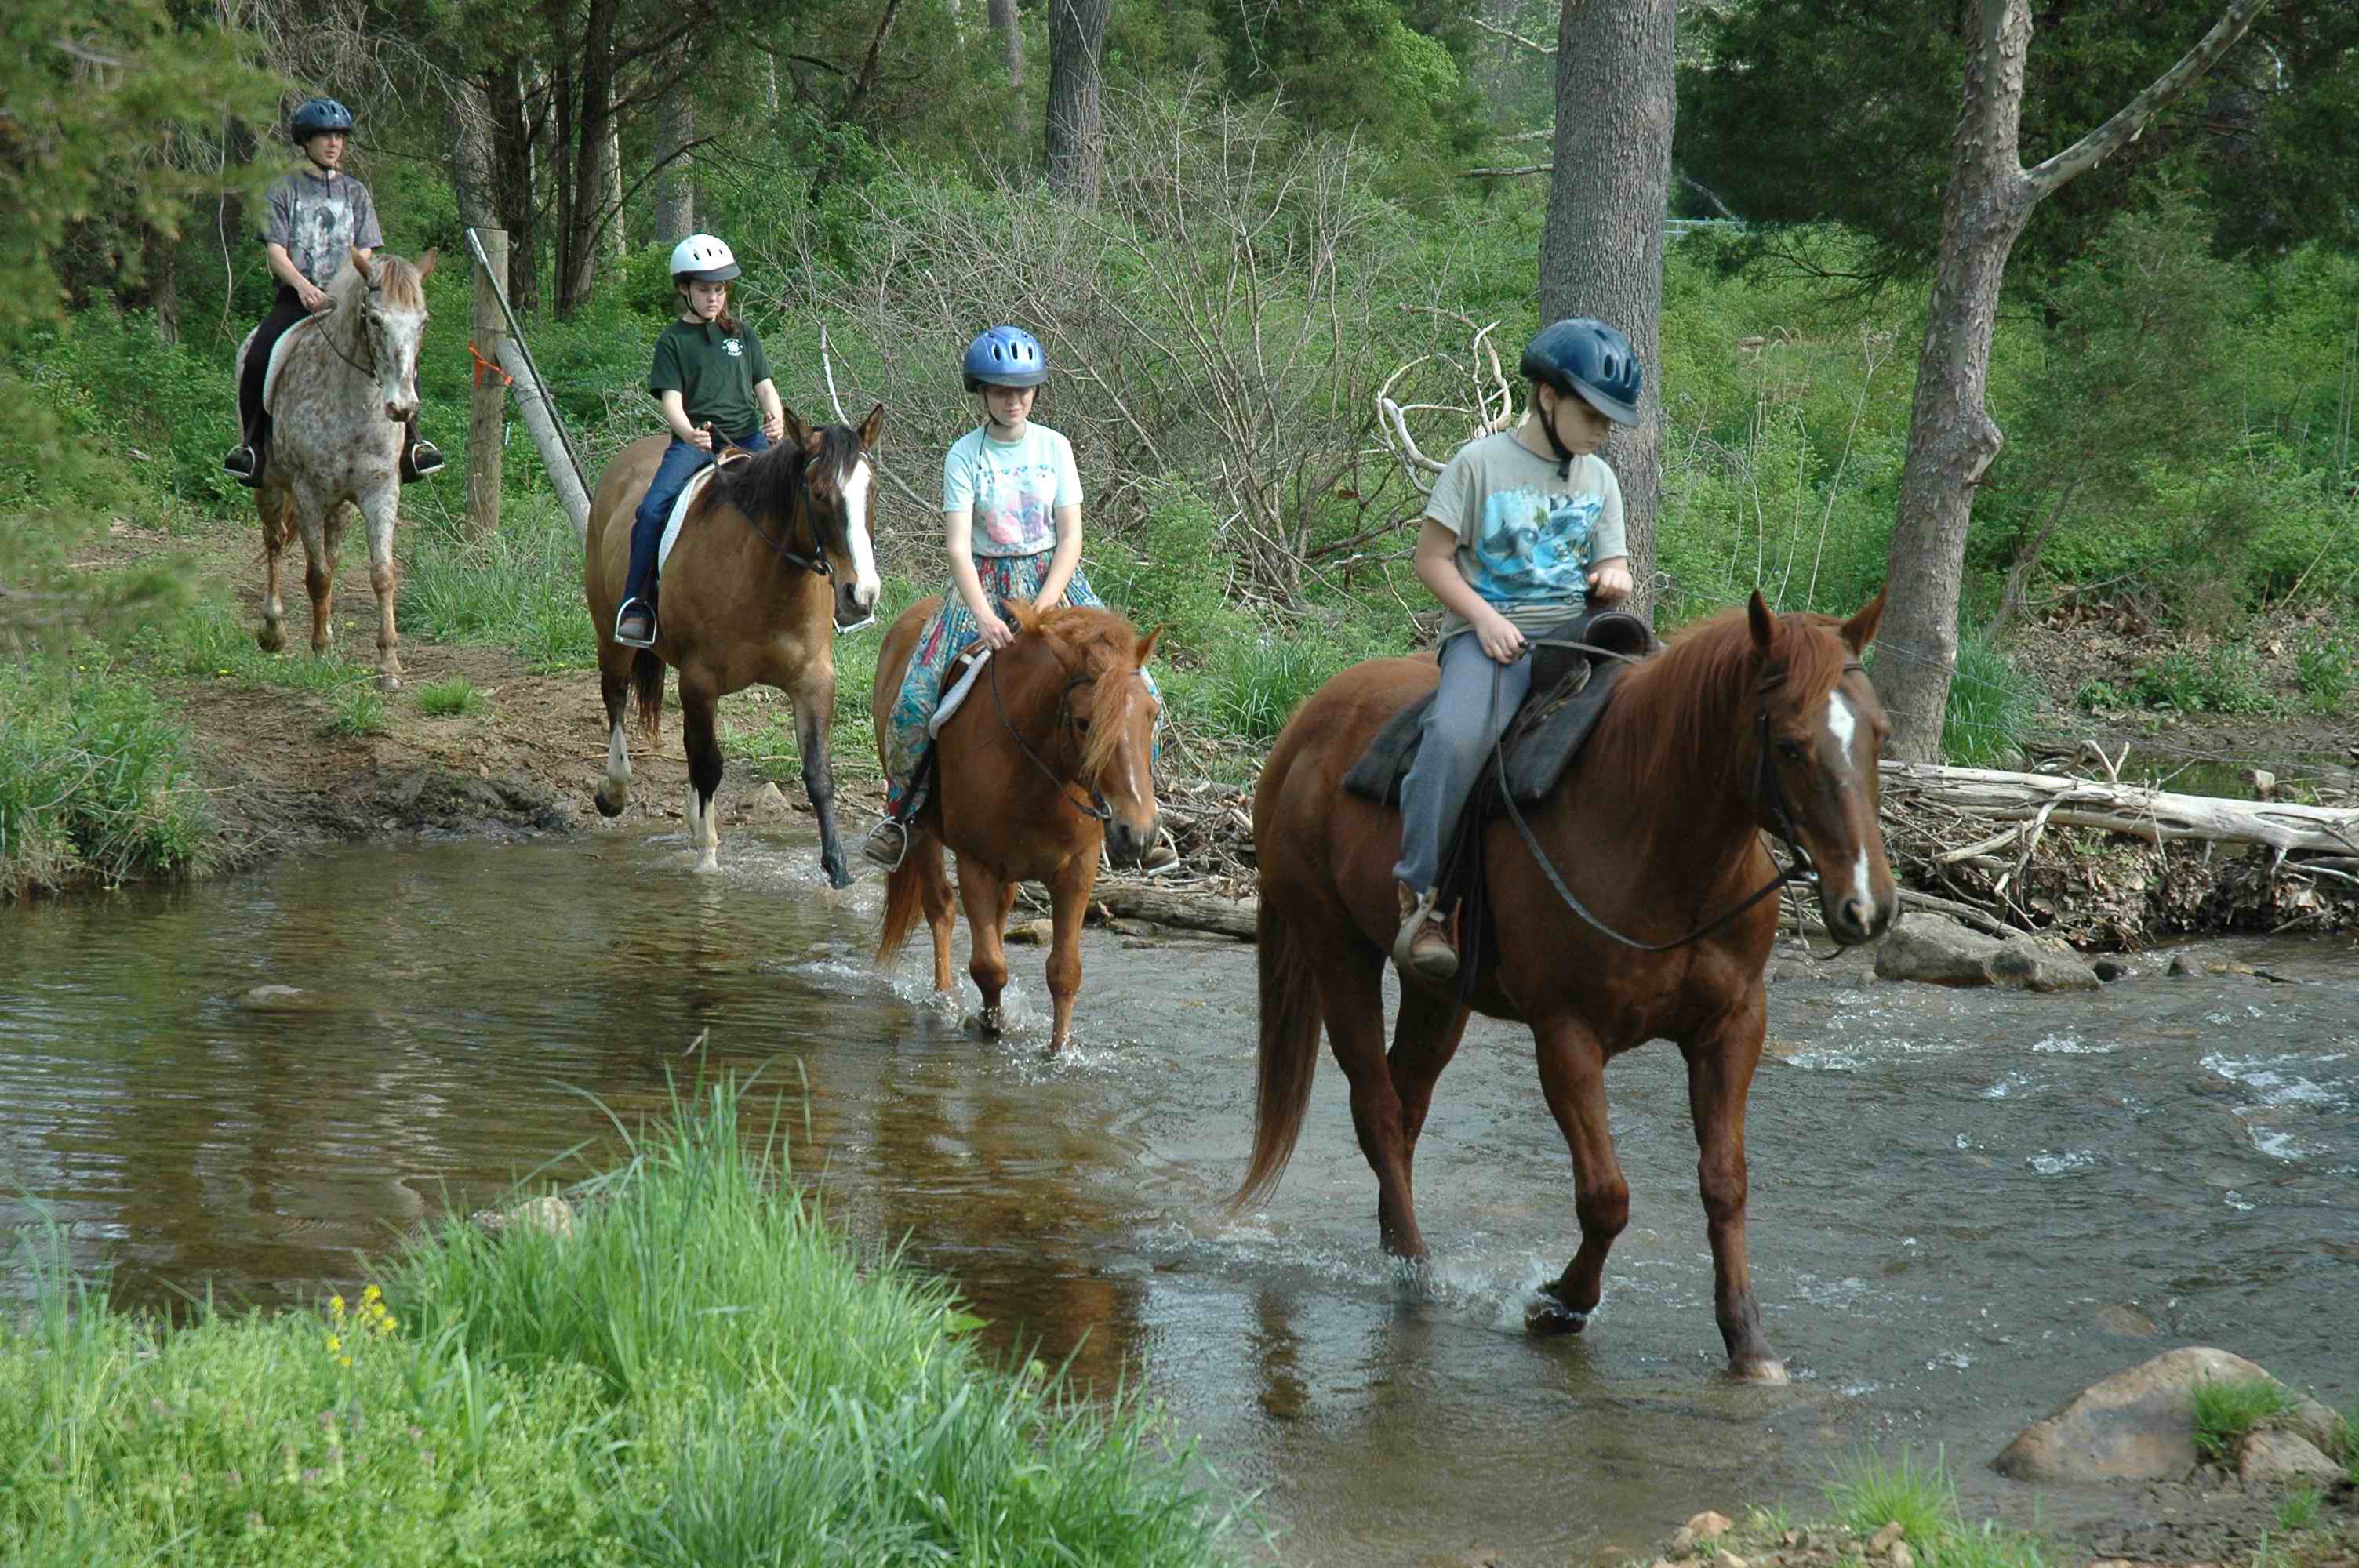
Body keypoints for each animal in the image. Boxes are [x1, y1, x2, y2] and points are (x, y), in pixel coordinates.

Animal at [244, 245, 438, 684]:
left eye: (422, 323)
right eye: (375, 320)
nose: (402, 407)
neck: (352, 404)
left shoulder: (380, 490)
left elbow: (381, 574)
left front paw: (388, 663)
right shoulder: (308, 493)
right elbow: (316, 575)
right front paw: (320, 649)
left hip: (341, 504)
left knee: (328, 557)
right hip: (271, 486)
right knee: (275, 543)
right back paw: (273, 630)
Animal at [582, 403, 887, 886]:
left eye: (871, 491)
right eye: (820, 494)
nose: (862, 595)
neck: (765, 578)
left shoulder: (814, 681)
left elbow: (819, 775)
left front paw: (838, 873)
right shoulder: (700, 681)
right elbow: (709, 765)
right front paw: (708, 860)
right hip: (611, 636)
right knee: (615, 697)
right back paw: (614, 791)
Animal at [872, 596, 1165, 1051]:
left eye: (1151, 715)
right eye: (1083, 722)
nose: (1138, 833)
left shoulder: (1078, 869)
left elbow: (1065, 971)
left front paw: (1059, 1050)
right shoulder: (975, 863)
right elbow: (989, 965)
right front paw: (990, 1026)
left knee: (1002, 908)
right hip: (921, 830)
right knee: (941, 907)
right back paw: (945, 999)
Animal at [1236, 589, 1896, 1386]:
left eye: (1880, 736)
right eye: (1792, 745)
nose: (1868, 908)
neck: (1657, 836)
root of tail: (1302, 725)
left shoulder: (1735, 1024)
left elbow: (1725, 1182)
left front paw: (1749, 1342)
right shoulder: (1566, 1034)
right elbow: (1606, 1196)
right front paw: (1557, 1305)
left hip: (1438, 995)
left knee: (1407, 1097)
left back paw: (1401, 1249)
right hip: (1338, 954)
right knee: (1378, 1109)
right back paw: (1419, 1276)